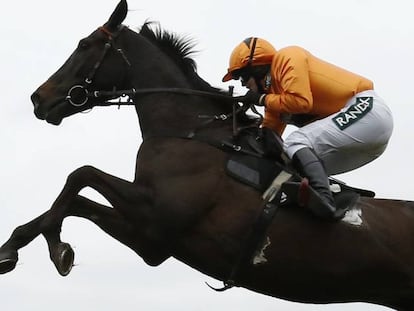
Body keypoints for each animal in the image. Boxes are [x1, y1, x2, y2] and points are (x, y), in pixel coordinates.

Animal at [0, 1, 414, 310]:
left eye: (84, 45)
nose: (38, 98)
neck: (188, 130)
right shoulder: (149, 233)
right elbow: (77, 198)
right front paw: (14, 247)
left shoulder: (153, 229)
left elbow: (80, 177)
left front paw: (55, 245)